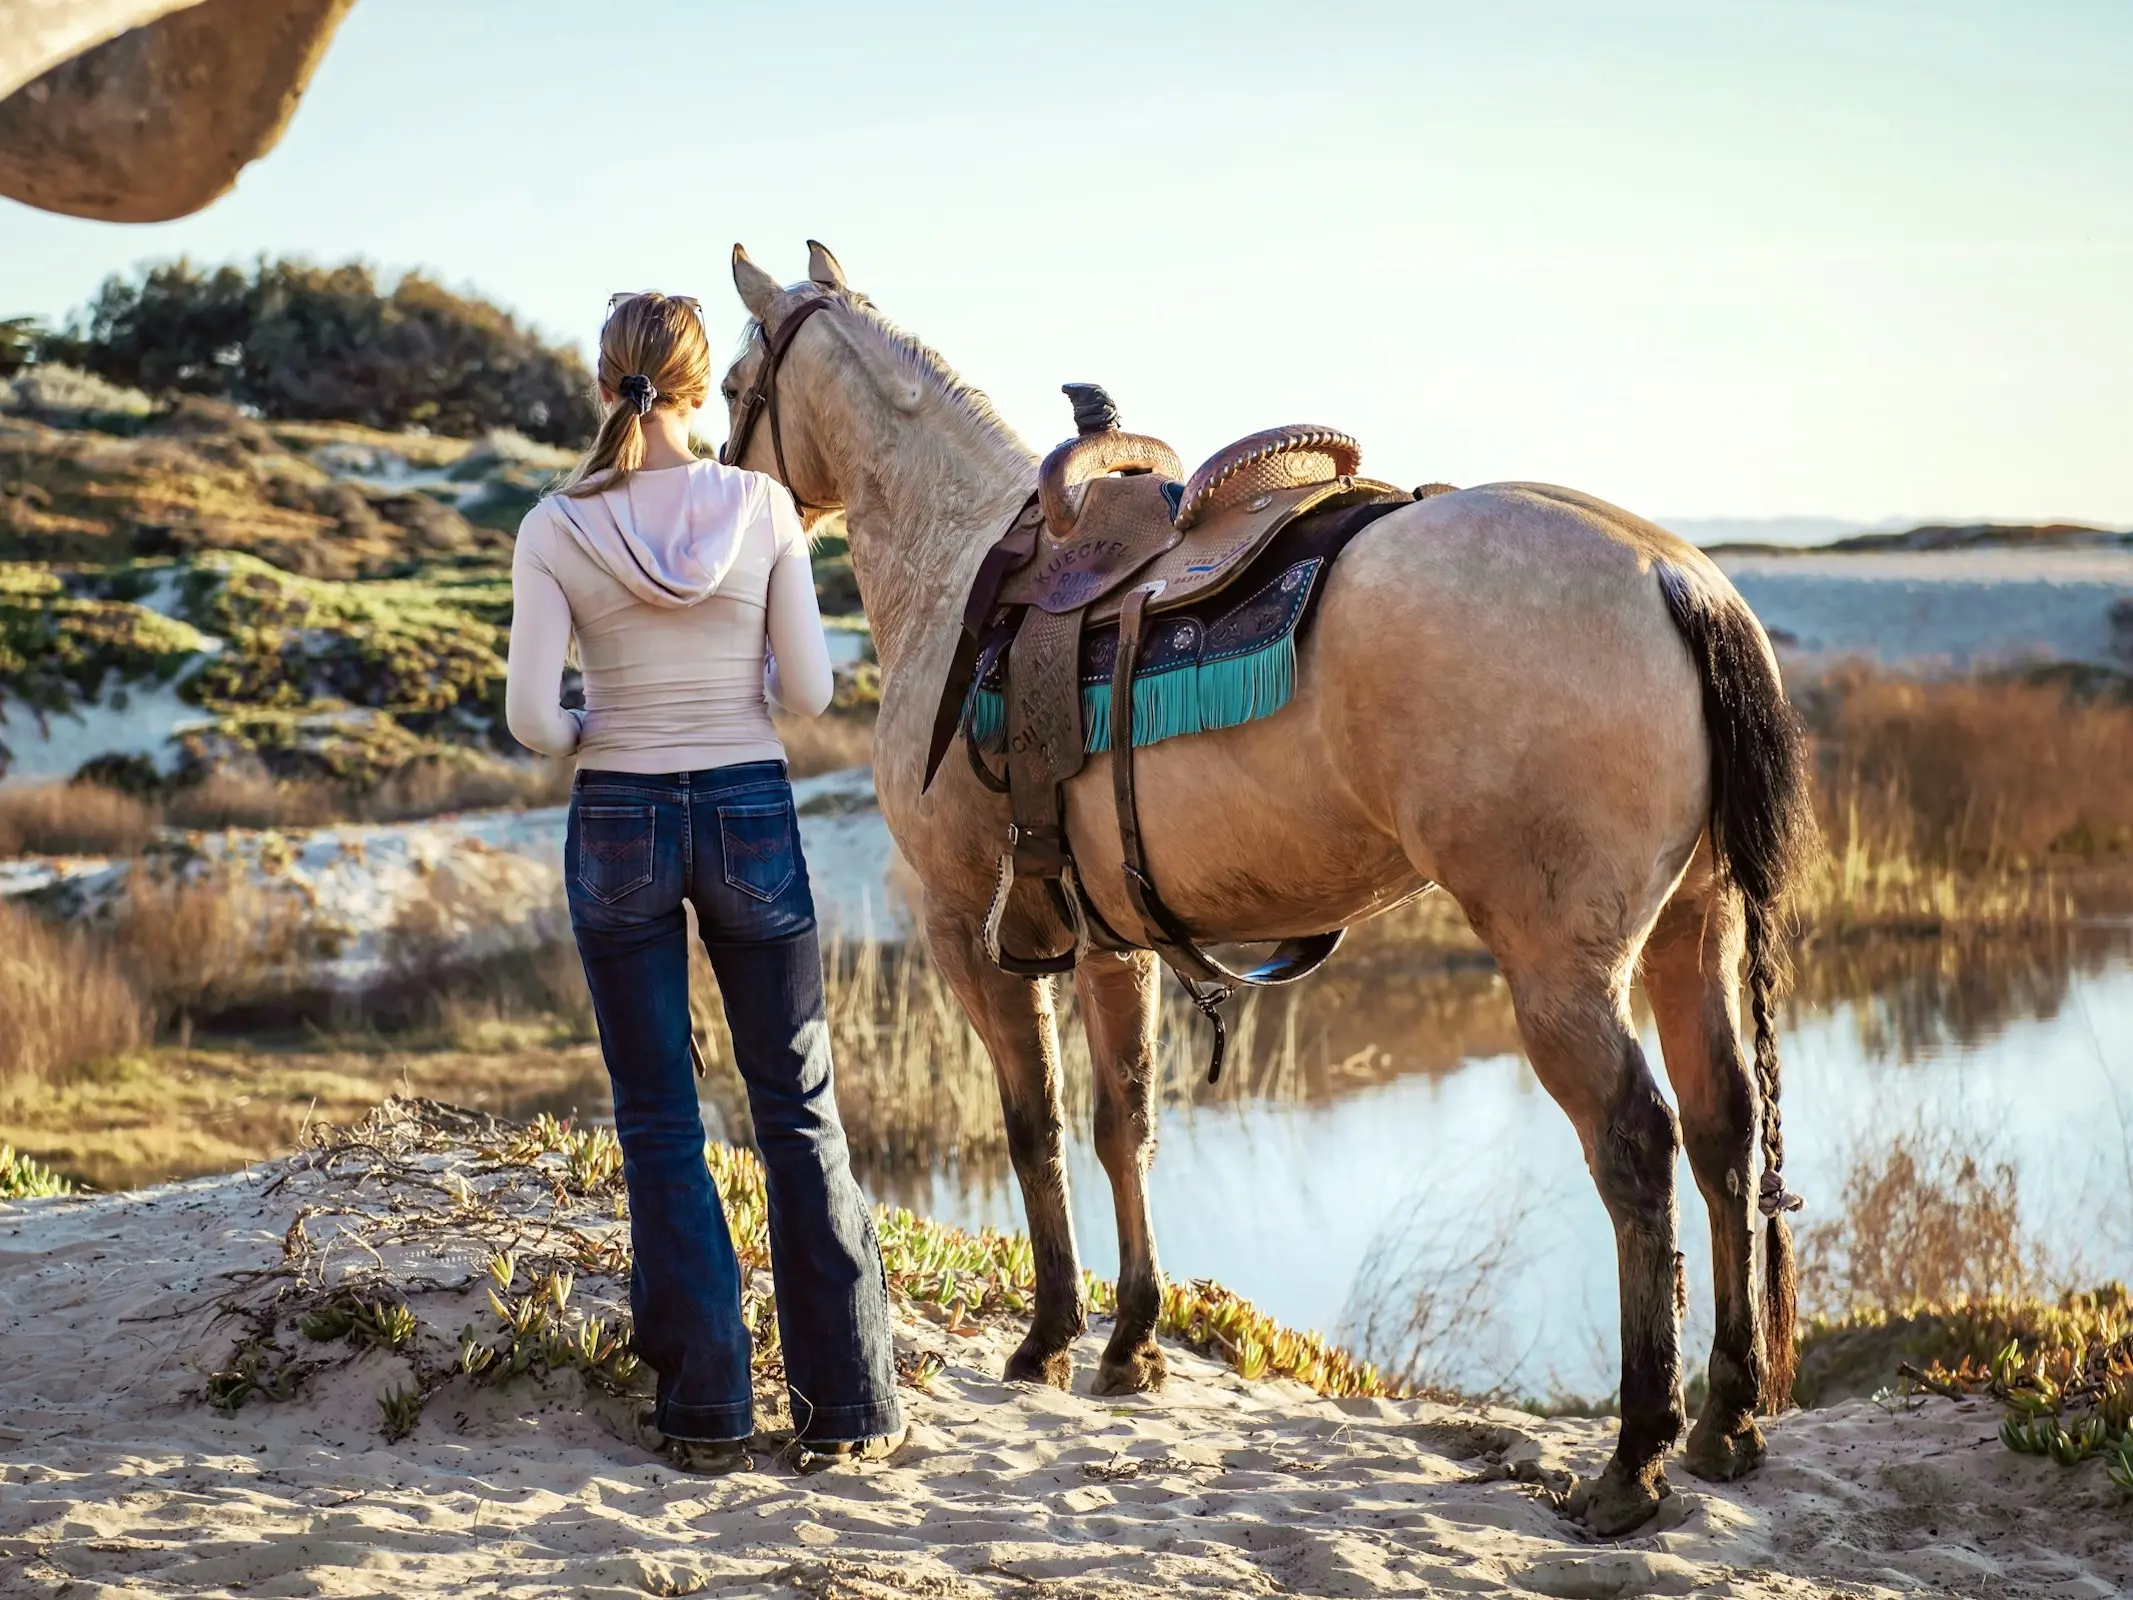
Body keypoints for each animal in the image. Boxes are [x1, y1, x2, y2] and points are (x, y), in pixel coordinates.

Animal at [716, 244, 1817, 1536]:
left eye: (735, 379)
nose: (725, 484)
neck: (959, 565)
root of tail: (1673, 578)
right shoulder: (1110, 944)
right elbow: (1124, 1122)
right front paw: (1131, 1342)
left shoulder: (968, 930)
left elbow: (1032, 1123)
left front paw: (1049, 1338)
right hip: (1699, 928)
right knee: (1725, 1129)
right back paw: (1724, 1419)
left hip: (1563, 971)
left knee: (1637, 1147)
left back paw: (1633, 1457)